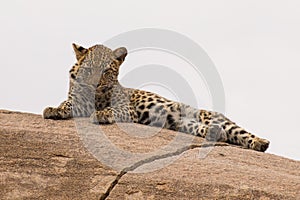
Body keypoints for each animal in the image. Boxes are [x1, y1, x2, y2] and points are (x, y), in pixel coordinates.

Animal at [43, 43, 270, 152]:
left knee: (239, 131)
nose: (94, 84)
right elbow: (68, 104)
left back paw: (261, 142)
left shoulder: (127, 109)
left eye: (106, 71)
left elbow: (111, 109)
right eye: (89, 69)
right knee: (214, 131)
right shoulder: (79, 101)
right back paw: (216, 134)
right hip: (181, 123)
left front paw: (102, 114)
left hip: (209, 116)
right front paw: (54, 109)